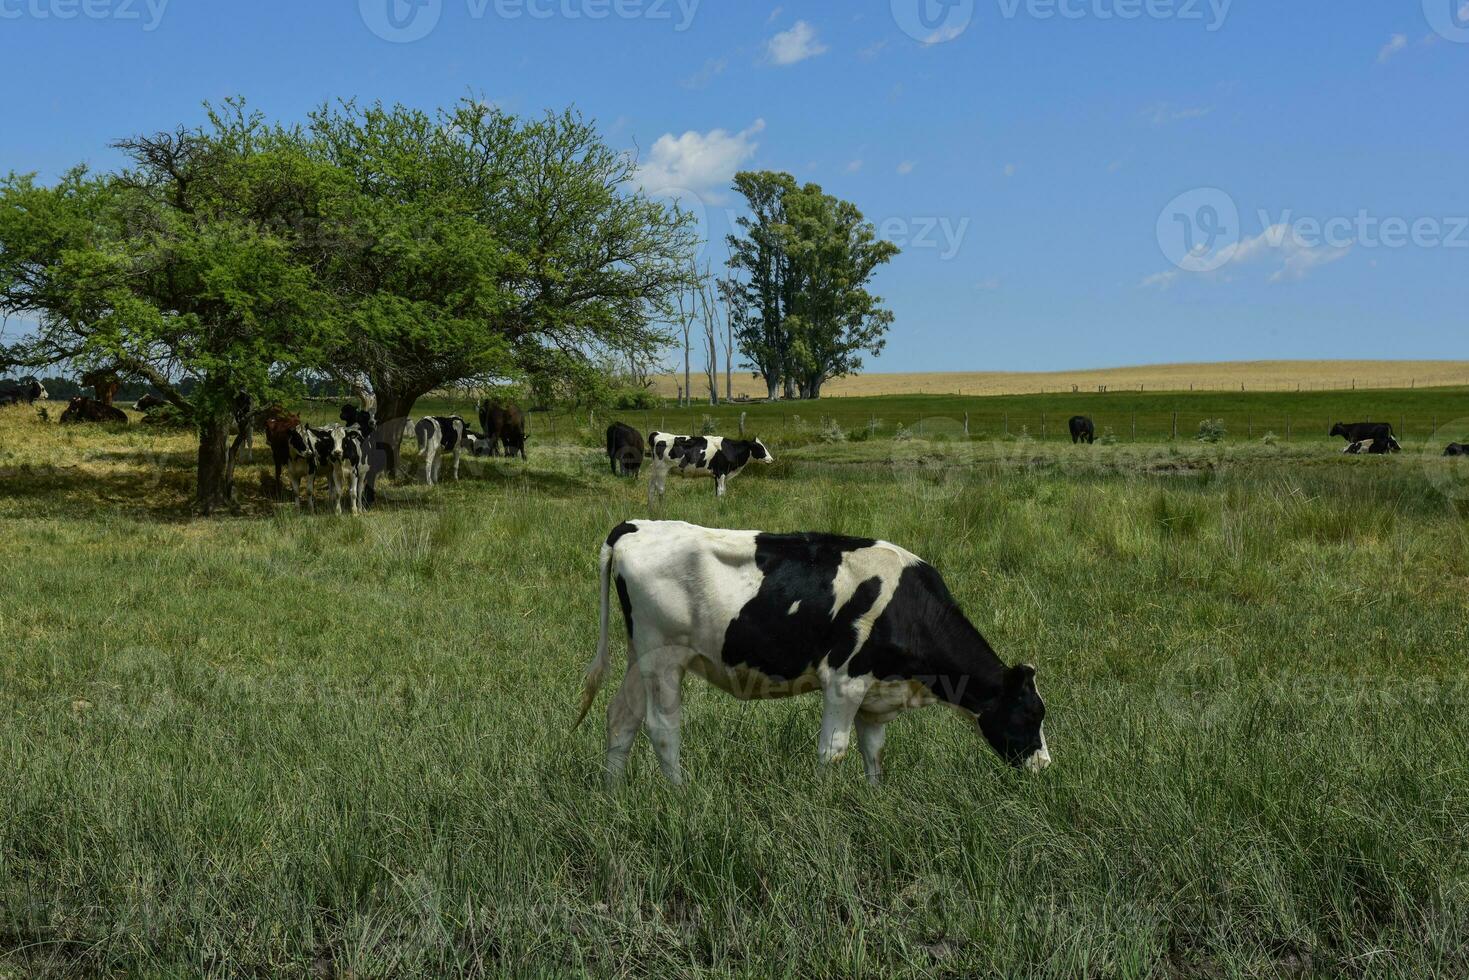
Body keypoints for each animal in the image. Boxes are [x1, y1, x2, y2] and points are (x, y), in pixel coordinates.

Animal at [575, 520, 1057, 787]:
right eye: (1031, 714)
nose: (1045, 766)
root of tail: (636, 526)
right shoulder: (845, 680)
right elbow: (834, 751)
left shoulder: (875, 697)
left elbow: (874, 753)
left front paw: (875, 801)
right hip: (664, 655)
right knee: (662, 727)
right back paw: (680, 795)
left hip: (640, 654)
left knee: (621, 718)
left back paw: (613, 797)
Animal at [646, 431, 775, 505]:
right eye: (759, 447)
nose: (771, 459)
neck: (730, 449)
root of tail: (657, 434)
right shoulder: (720, 473)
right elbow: (721, 492)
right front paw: (720, 507)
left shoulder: (720, 475)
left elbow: (721, 491)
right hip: (662, 469)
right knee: (660, 489)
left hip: (655, 471)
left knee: (651, 489)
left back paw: (651, 509)